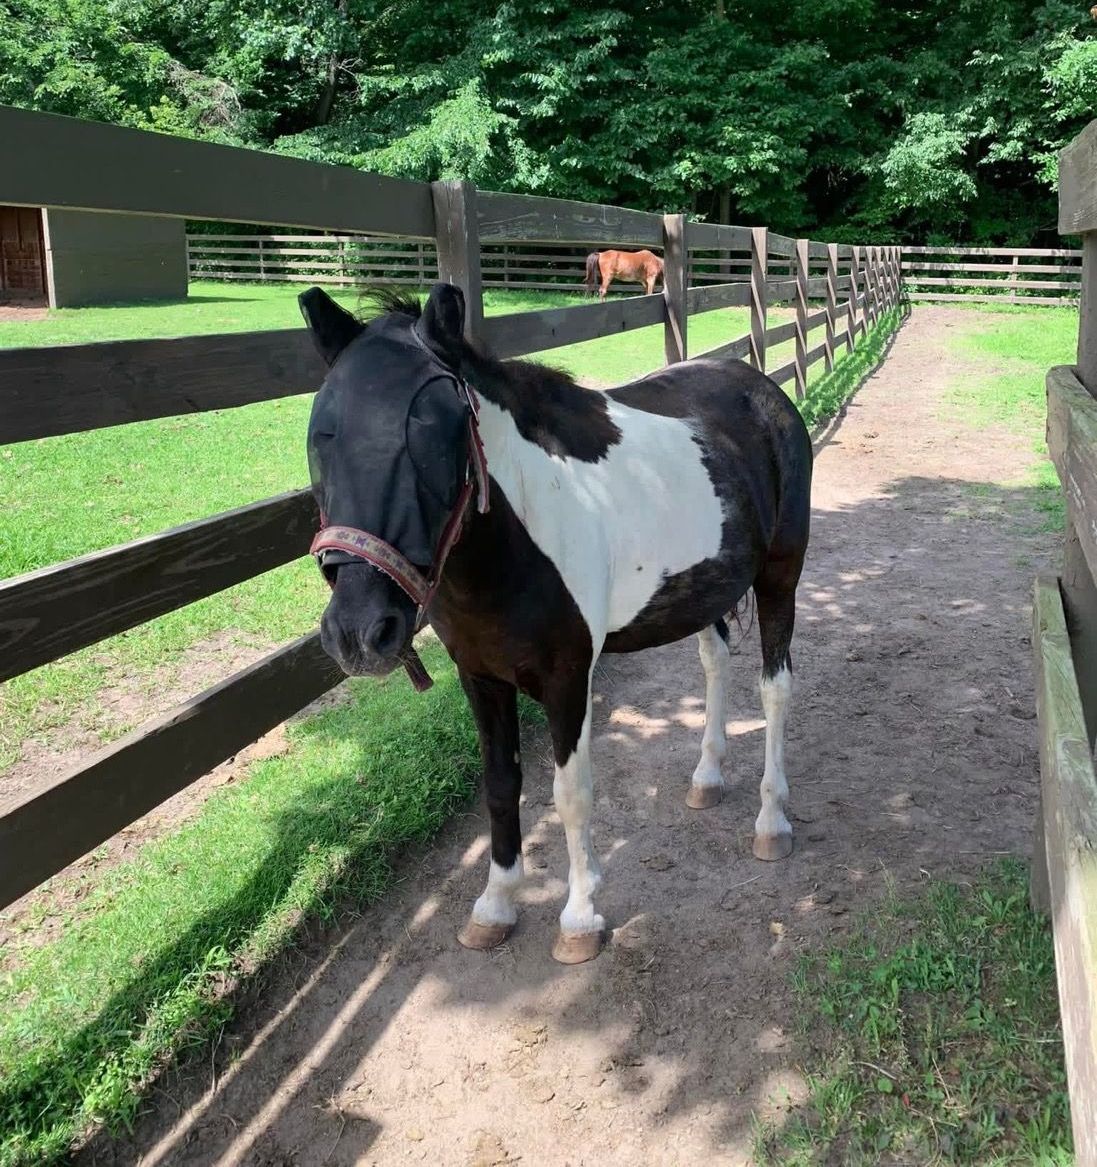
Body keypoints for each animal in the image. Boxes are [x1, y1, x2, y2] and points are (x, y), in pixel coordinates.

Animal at [301, 282, 812, 965]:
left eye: (430, 434)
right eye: (322, 434)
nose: (359, 631)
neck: (518, 538)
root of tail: (761, 389)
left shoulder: (567, 678)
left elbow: (571, 794)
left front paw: (580, 917)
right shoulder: (480, 677)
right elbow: (500, 784)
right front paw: (495, 904)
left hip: (780, 575)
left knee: (775, 688)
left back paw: (771, 819)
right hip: (705, 593)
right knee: (716, 665)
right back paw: (707, 777)